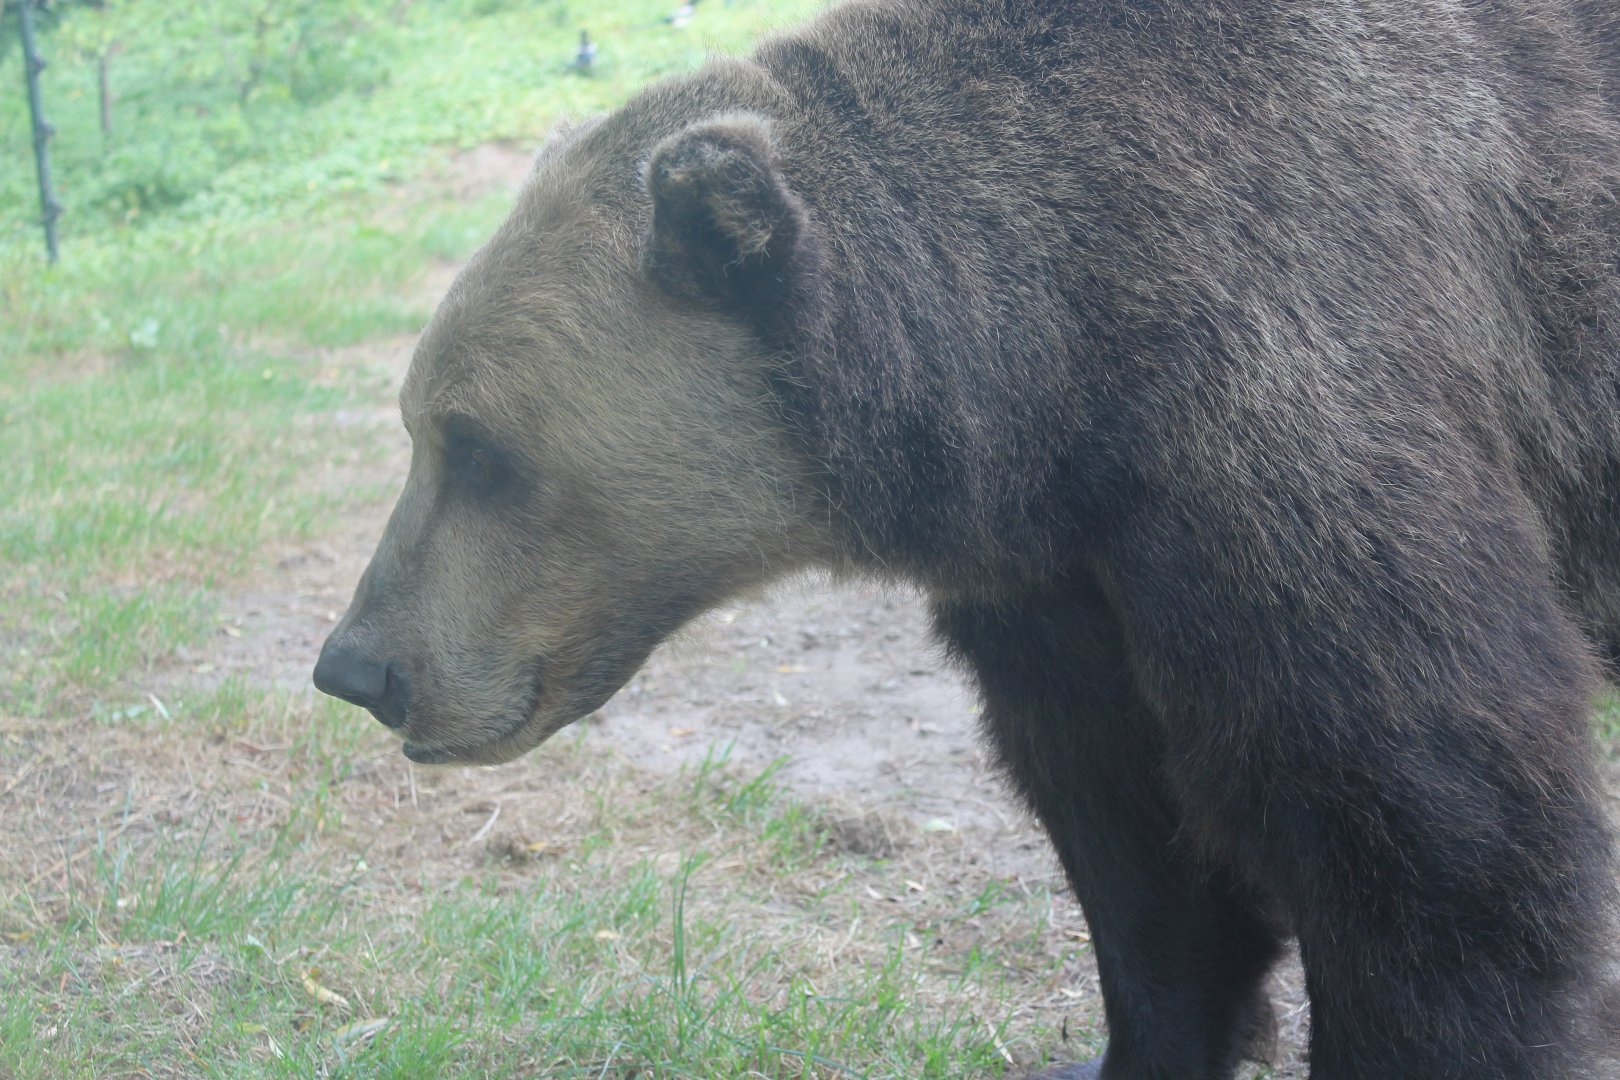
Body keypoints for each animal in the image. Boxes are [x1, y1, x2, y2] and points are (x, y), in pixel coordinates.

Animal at [313, 1, 1620, 1076]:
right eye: (419, 422)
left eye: (479, 448)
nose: (358, 666)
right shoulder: (1063, 571)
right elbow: (1127, 822)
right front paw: (1138, 1043)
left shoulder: (1292, 385)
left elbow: (1423, 804)